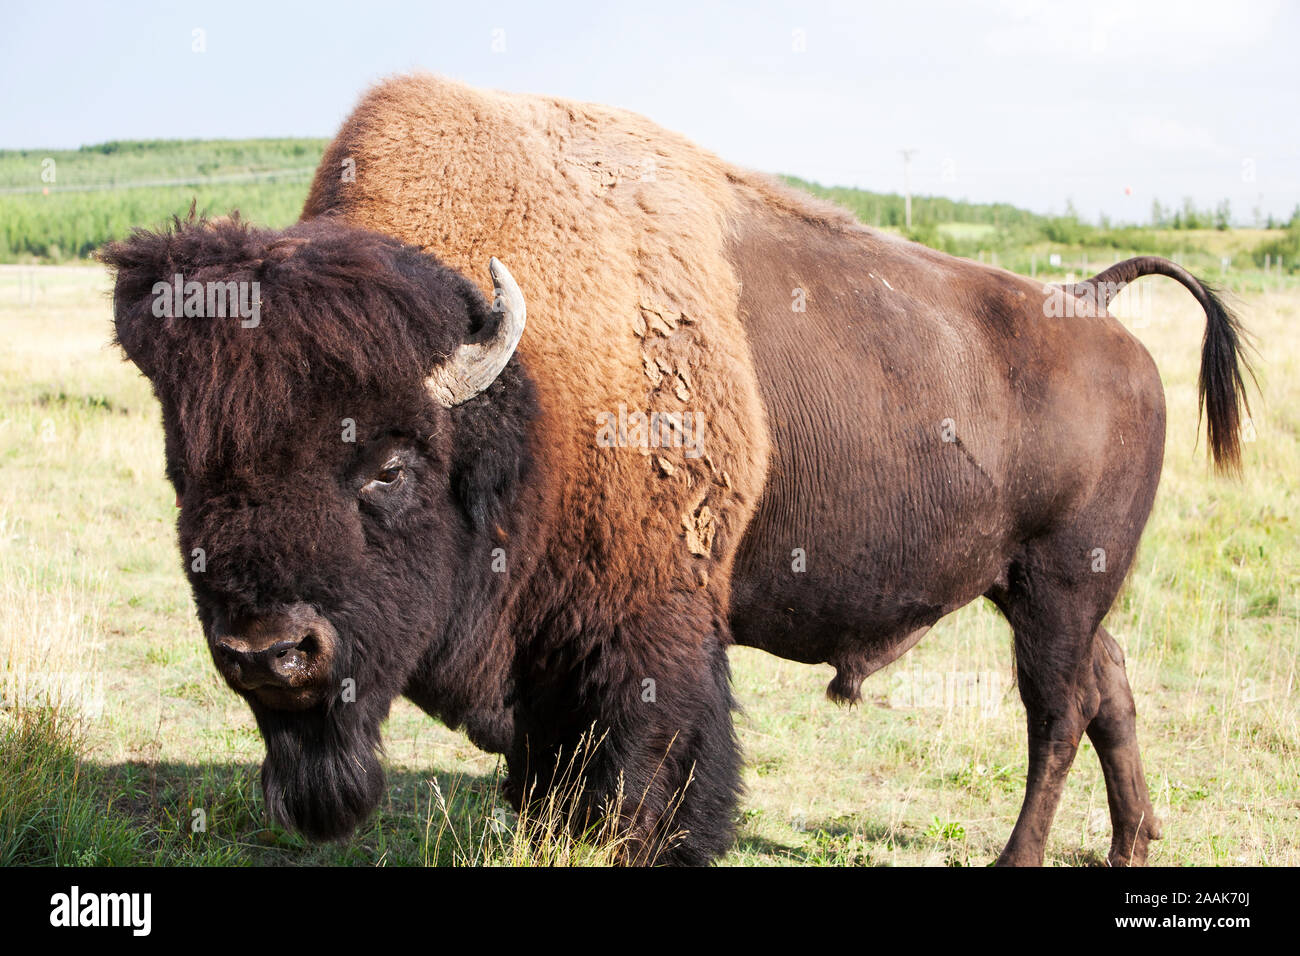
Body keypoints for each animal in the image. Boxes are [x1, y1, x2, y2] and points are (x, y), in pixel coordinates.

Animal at [106, 76, 1253, 868]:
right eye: (184, 469)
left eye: (389, 465)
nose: (268, 651)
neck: (528, 387)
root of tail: (1096, 305)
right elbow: (549, 773)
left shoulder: (648, 630)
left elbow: (652, 773)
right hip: (1040, 591)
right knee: (1108, 689)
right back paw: (1130, 844)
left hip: (1058, 587)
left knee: (1057, 712)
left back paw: (1021, 856)